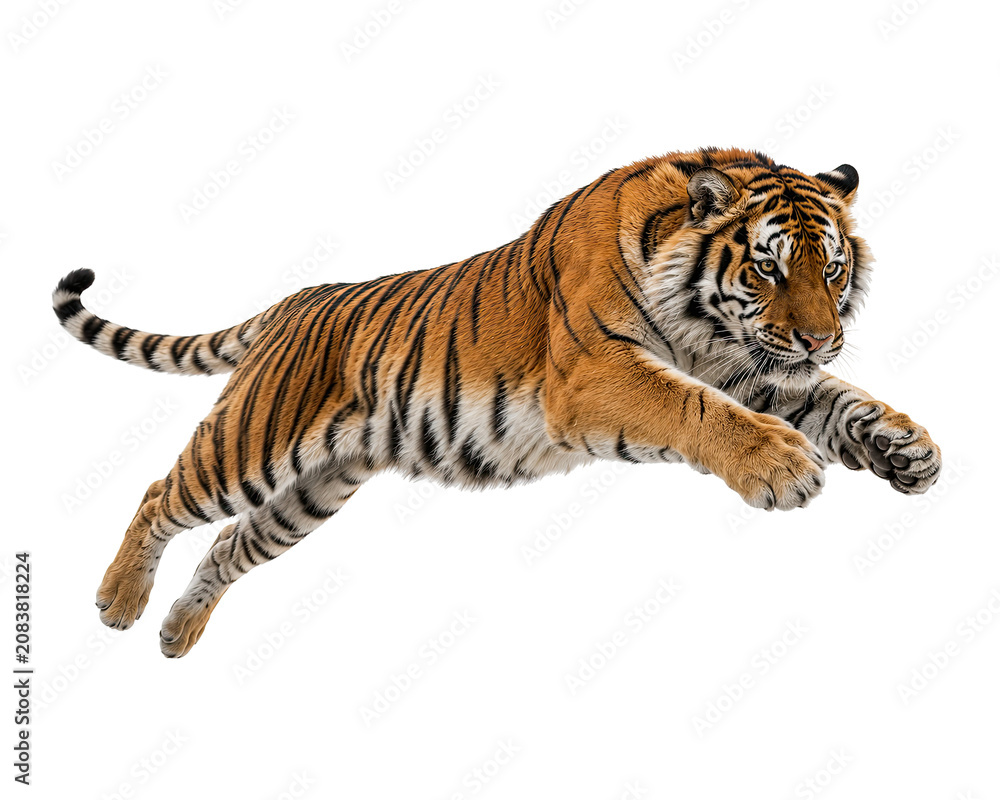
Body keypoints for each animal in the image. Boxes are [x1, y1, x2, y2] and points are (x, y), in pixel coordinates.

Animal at [53, 147, 942, 658]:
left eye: (832, 268)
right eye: (767, 268)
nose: (821, 338)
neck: (708, 327)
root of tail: (292, 303)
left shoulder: (755, 366)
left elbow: (839, 401)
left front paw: (907, 448)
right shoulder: (595, 374)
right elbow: (695, 409)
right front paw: (780, 464)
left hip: (314, 491)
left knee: (228, 544)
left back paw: (177, 633)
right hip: (251, 445)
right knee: (160, 493)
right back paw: (119, 603)